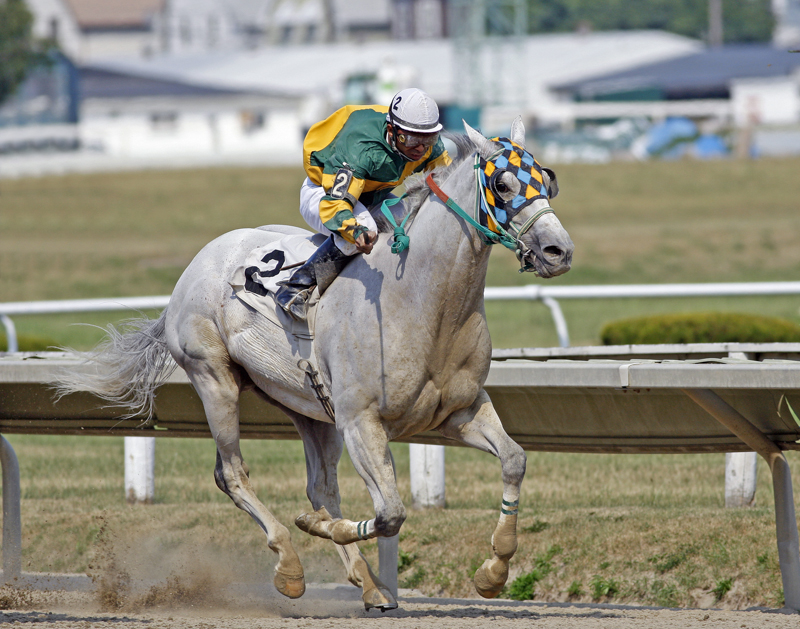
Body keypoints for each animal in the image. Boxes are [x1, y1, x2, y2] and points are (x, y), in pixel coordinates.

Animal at [56, 119, 573, 611]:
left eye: (548, 180)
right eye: (503, 184)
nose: (559, 251)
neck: (423, 301)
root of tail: (193, 269)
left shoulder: (458, 411)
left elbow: (514, 459)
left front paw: (494, 570)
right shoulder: (362, 421)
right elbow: (390, 513)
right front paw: (315, 529)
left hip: (307, 408)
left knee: (319, 487)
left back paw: (369, 584)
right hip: (214, 378)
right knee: (233, 473)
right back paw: (290, 564)